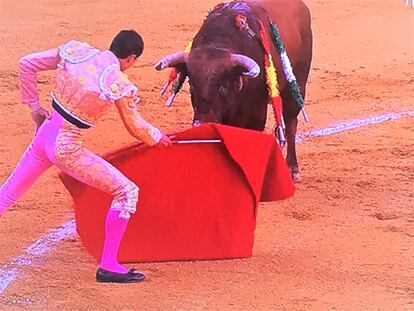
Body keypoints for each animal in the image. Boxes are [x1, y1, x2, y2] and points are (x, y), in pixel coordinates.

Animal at [157, 0, 312, 182]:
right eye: (192, 85)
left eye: (223, 86)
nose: (201, 123)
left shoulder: (256, 113)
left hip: (298, 84)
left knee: (291, 123)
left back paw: (292, 169)